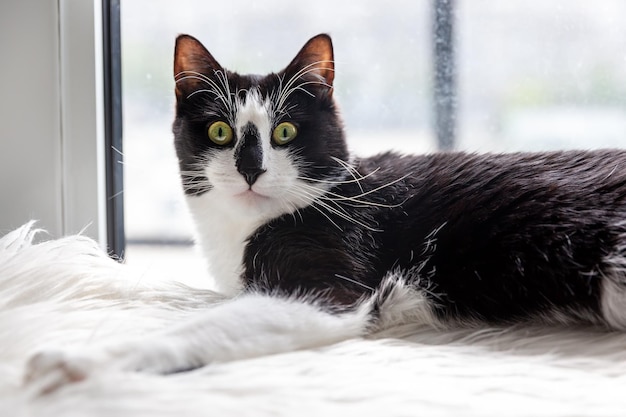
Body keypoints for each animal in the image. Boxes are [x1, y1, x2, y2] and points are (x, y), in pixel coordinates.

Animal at [25, 32, 626, 390]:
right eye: (219, 131)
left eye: (285, 132)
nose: (250, 168)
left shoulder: (328, 281)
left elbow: (208, 327)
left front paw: (82, 362)